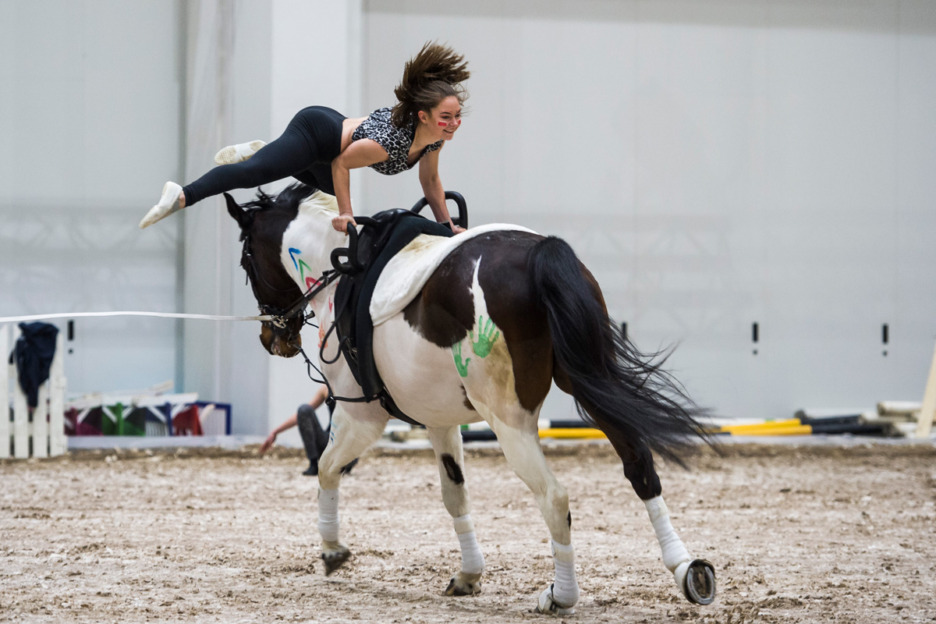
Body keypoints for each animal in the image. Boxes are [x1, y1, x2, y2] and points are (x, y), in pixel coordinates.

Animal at [222, 183, 716, 614]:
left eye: (246, 259)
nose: (273, 339)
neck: (337, 269)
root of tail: (541, 253)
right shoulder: (440, 420)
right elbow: (454, 494)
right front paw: (469, 575)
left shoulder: (359, 415)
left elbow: (326, 468)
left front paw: (331, 550)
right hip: (588, 383)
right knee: (640, 467)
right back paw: (687, 570)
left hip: (509, 422)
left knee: (554, 497)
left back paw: (561, 596)